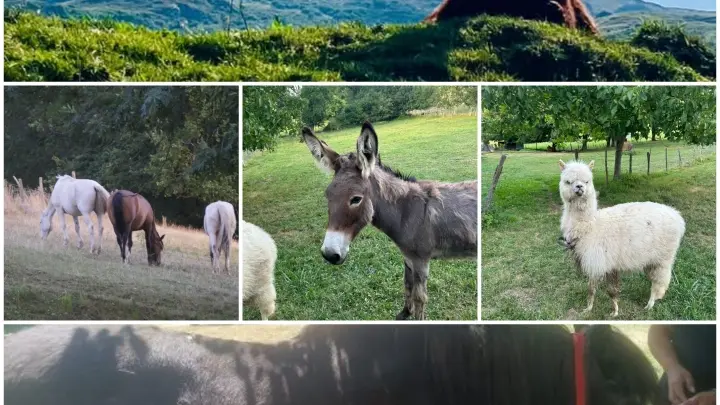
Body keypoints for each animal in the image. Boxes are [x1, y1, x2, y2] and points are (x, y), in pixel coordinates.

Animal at [301, 122, 477, 320]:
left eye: (356, 199)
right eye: (327, 196)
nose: (329, 255)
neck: (407, 212)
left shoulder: (421, 260)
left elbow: (420, 297)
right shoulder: (408, 258)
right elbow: (407, 285)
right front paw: (404, 313)